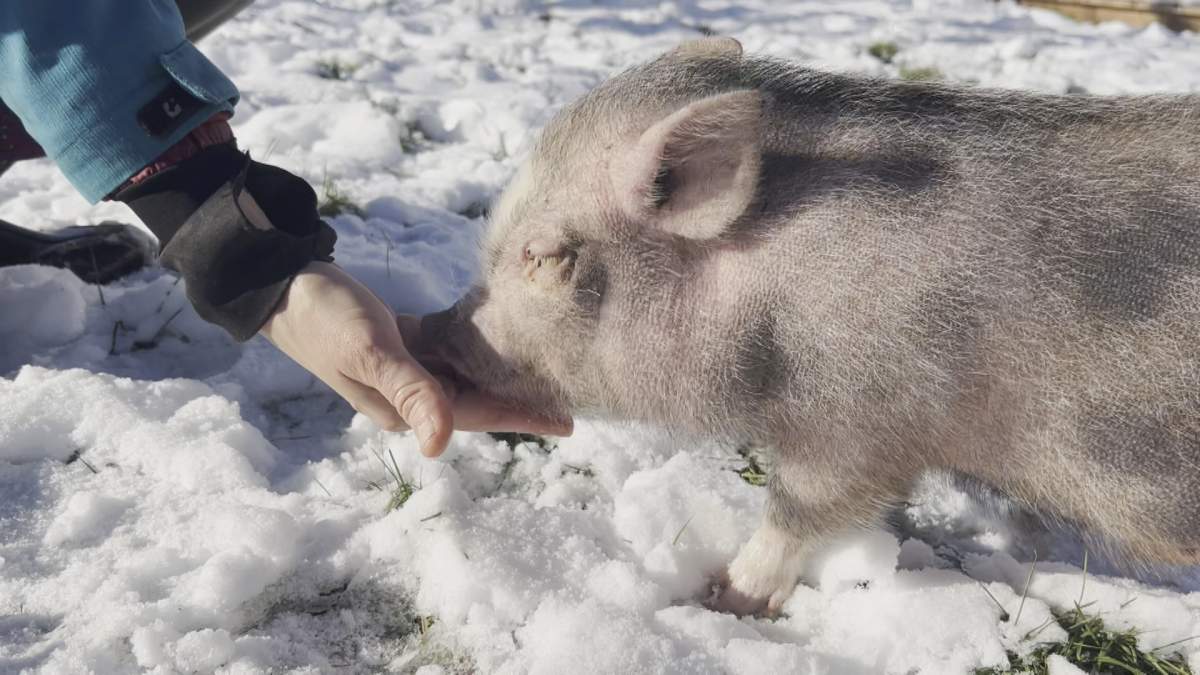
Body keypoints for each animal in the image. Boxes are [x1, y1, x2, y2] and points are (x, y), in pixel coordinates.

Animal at [419, 37, 1200, 615]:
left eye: (545, 256)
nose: (433, 327)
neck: (776, 284)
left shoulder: (862, 417)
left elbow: (798, 508)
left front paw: (726, 600)